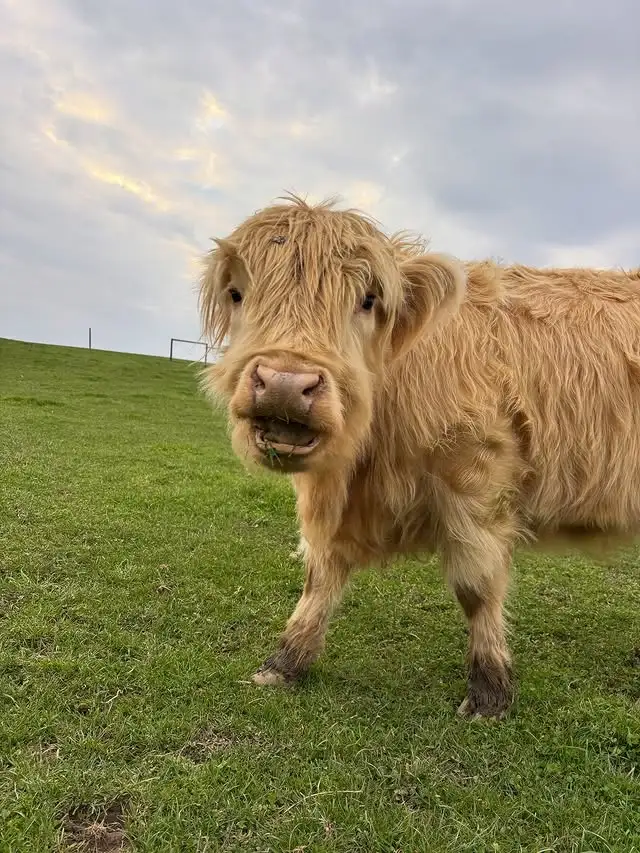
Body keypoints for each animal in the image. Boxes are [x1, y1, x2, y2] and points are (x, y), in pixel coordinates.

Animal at [198, 193, 640, 719]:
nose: (286, 385)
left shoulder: (478, 479)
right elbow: (319, 576)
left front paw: (489, 692)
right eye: (236, 293)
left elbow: (476, 587)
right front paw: (285, 662)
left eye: (368, 300)